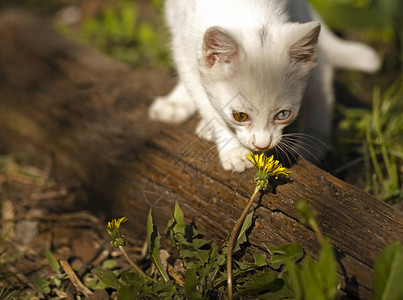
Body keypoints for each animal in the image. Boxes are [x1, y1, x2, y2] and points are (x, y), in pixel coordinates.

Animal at [150, 0, 380, 172]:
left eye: (283, 114)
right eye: (240, 116)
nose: (262, 145)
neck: (242, 10)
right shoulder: (182, 39)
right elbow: (201, 94)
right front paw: (232, 150)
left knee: (324, 73)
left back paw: (312, 144)